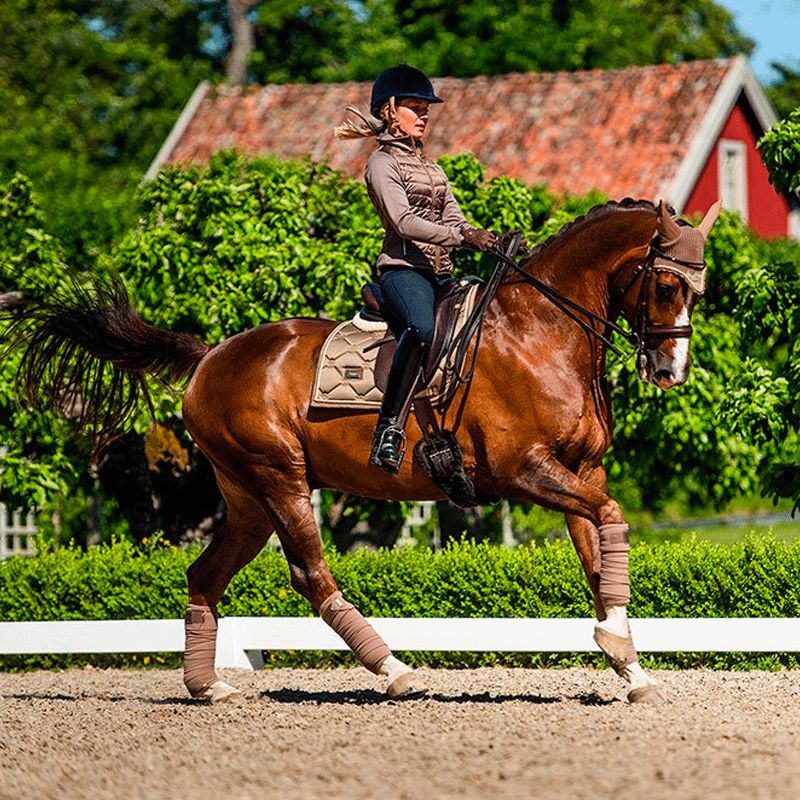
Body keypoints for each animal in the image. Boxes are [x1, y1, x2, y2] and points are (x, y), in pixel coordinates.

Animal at [7, 197, 720, 704]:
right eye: (664, 286)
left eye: (698, 290)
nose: (670, 371)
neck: (542, 332)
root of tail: (209, 355)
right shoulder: (524, 471)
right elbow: (613, 518)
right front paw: (619, 647)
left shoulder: (578, 469)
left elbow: (600, 553)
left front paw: (628, 662)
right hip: (280, 478)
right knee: (311, 575)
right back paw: (396, 671)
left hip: (248, 499)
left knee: (204, 576)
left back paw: (209, 688)